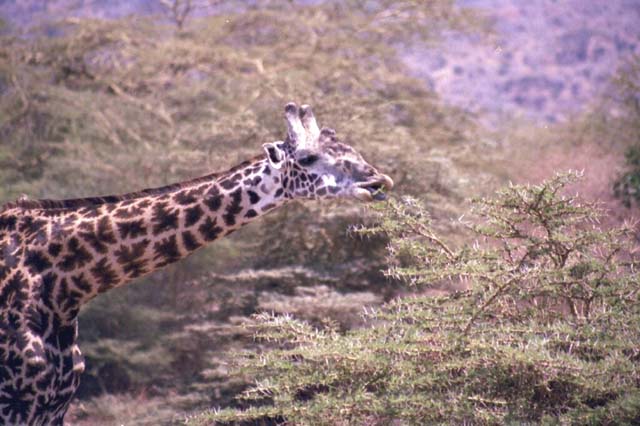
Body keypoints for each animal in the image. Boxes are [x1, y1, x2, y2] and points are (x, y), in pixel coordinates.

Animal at [0, 101, 396, 424]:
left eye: (352, 149)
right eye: (310, 158)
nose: (379, 180)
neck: (62, 282)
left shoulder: (55, 404)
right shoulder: (18, 402)